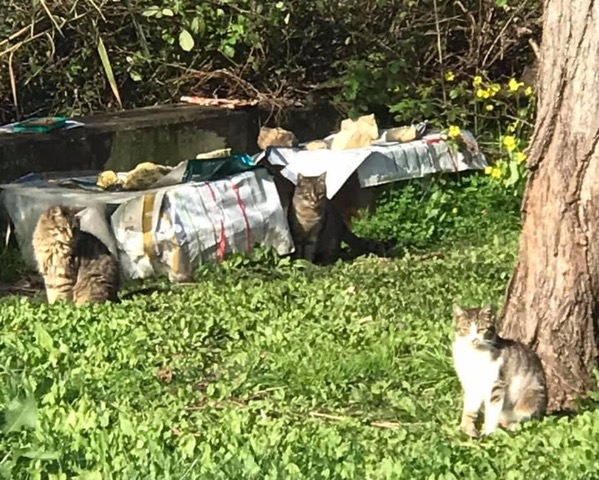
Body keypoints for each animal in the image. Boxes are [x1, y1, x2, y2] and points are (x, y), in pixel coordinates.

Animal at [452, 306, 548, 436]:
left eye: (481, 329)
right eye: (465, 329)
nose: (474, 340)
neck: (474, 354)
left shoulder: (496, 382)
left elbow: (492, 409)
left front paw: (488, 432)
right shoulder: (471, 384)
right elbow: (469, 407)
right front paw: (467, 428)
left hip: (530, 396)